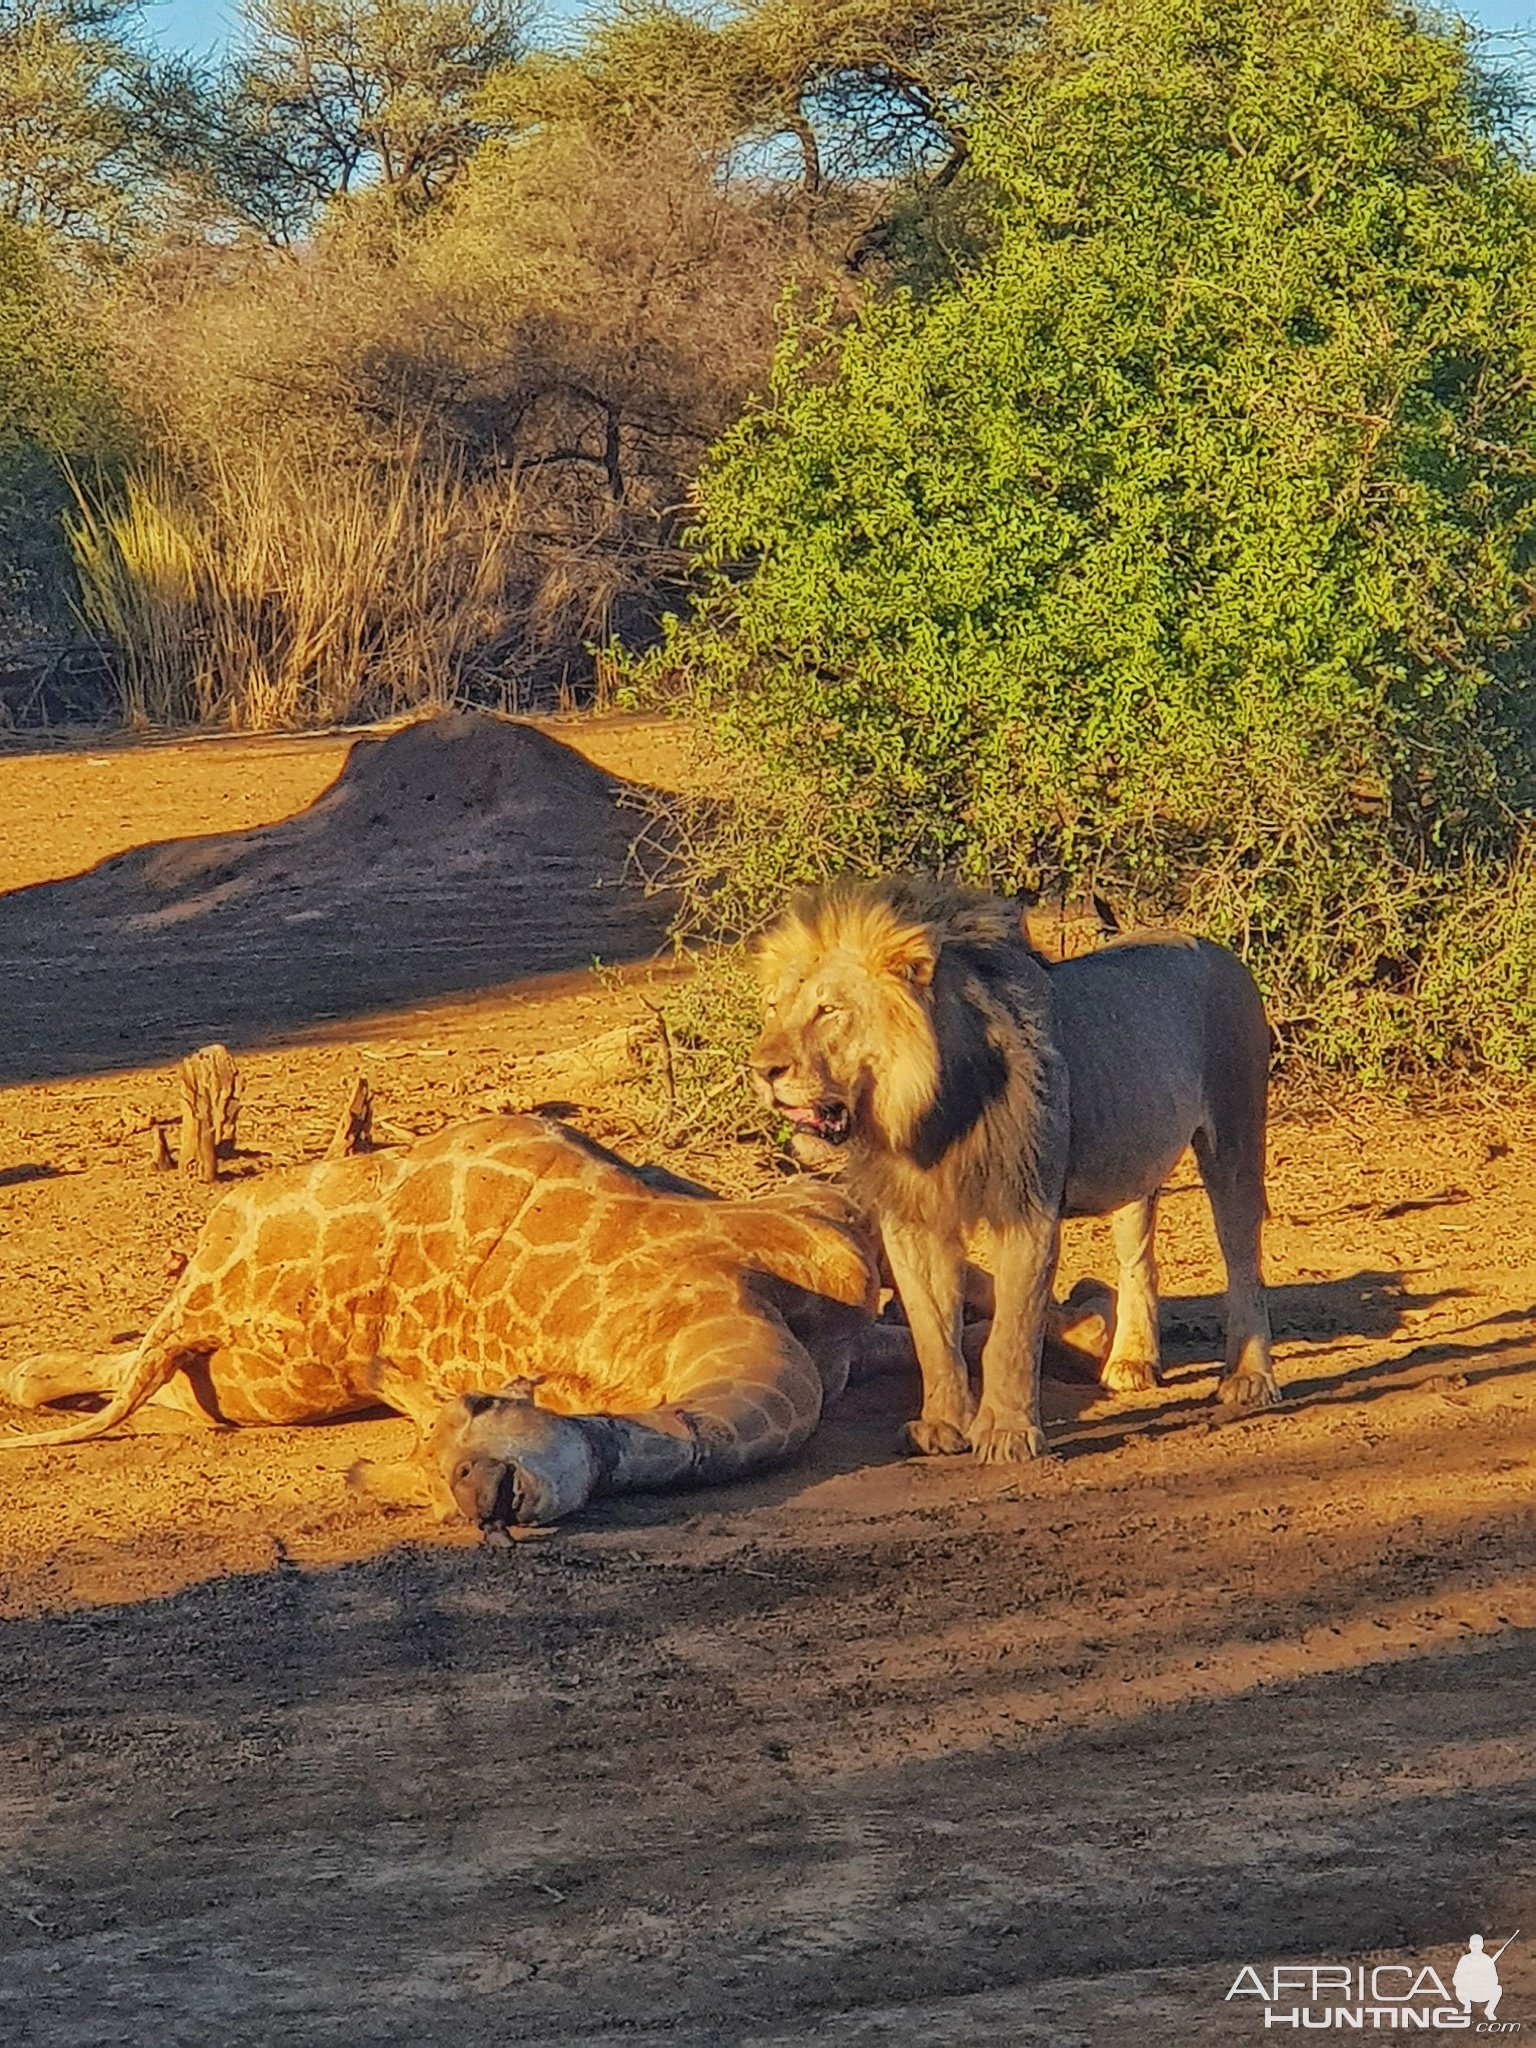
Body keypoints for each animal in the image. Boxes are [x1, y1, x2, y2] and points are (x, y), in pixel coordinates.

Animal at [753, 872, 1277, 1466]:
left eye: (829, 1010)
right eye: (773, 1007)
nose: (762, 1069)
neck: (926, 1111)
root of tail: (1215, 948)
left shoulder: (1027, 1210)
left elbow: (1012, 1334)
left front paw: (1007, 1434)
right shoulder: (913, 1221)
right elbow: (933, 1334)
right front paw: (942, 1426)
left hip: (1234, 1134)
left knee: (1243, 1259)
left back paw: (1249, 1379)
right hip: (1131, 1165)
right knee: (1139, 1258)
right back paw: (1132, 1361)